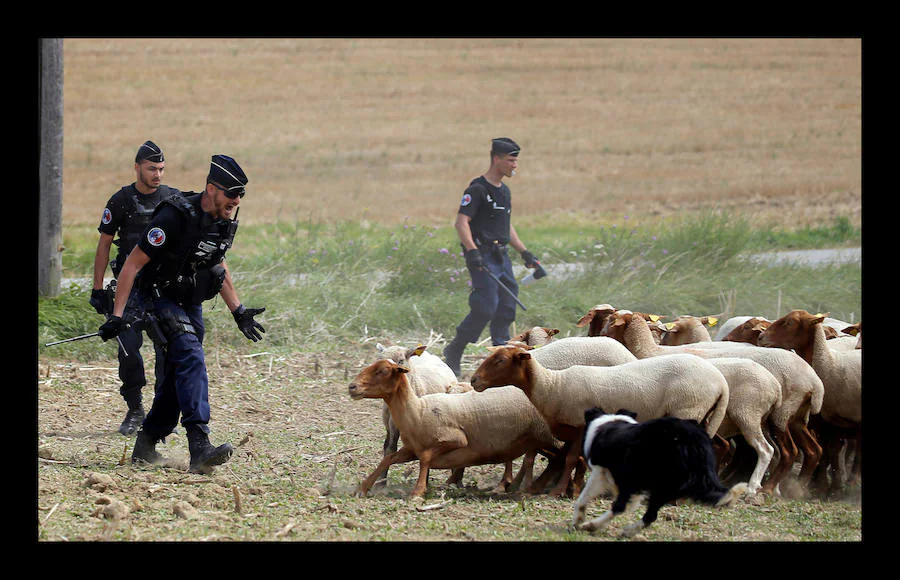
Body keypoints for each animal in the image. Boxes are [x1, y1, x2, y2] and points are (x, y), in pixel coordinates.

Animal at [348, 358, 560, 498]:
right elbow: (388, 459)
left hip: (546, 437)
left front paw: (418, 490)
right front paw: (363, 487)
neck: (417, 411)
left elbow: (426, 459)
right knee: (554, 459)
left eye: (382, 371)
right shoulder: (411, 449)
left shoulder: (456, 439)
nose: (352, 387)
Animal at [468, 344, 728, 498]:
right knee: (718, 445)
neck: (552, 386)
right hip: (702, 416)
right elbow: (566, 458)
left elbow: (571, 459)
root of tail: (720, 381)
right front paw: (556, 488)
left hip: (688, 409)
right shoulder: (571, 429)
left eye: (501, 360)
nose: (473, 380)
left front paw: (559, 491)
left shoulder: (580, 426)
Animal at [600, 310, 828, 496]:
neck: (650, 352)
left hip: (765, 415)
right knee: (809, 450)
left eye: (612, 321)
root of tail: (814, 381)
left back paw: (759, 487)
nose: (600, 335)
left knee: (776, 451)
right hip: (794, 418)